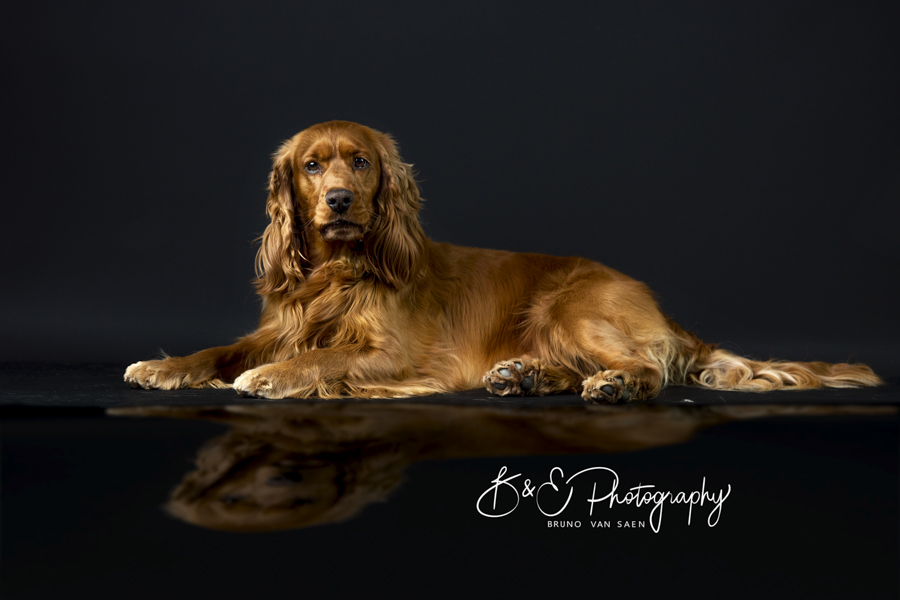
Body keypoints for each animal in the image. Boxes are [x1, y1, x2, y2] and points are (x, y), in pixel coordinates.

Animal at [123, 120, 884, 404]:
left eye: (361, 162)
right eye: (312, 166)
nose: (339, 200)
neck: (336, 273)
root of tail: (664, 311)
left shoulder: (391, 353)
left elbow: (320, 358)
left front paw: (272, 378)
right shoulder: (279, 325)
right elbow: (222, 348)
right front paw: (164, 367)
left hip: (569, 307)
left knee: (646, 369)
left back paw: (611, 384)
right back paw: (525, 375)